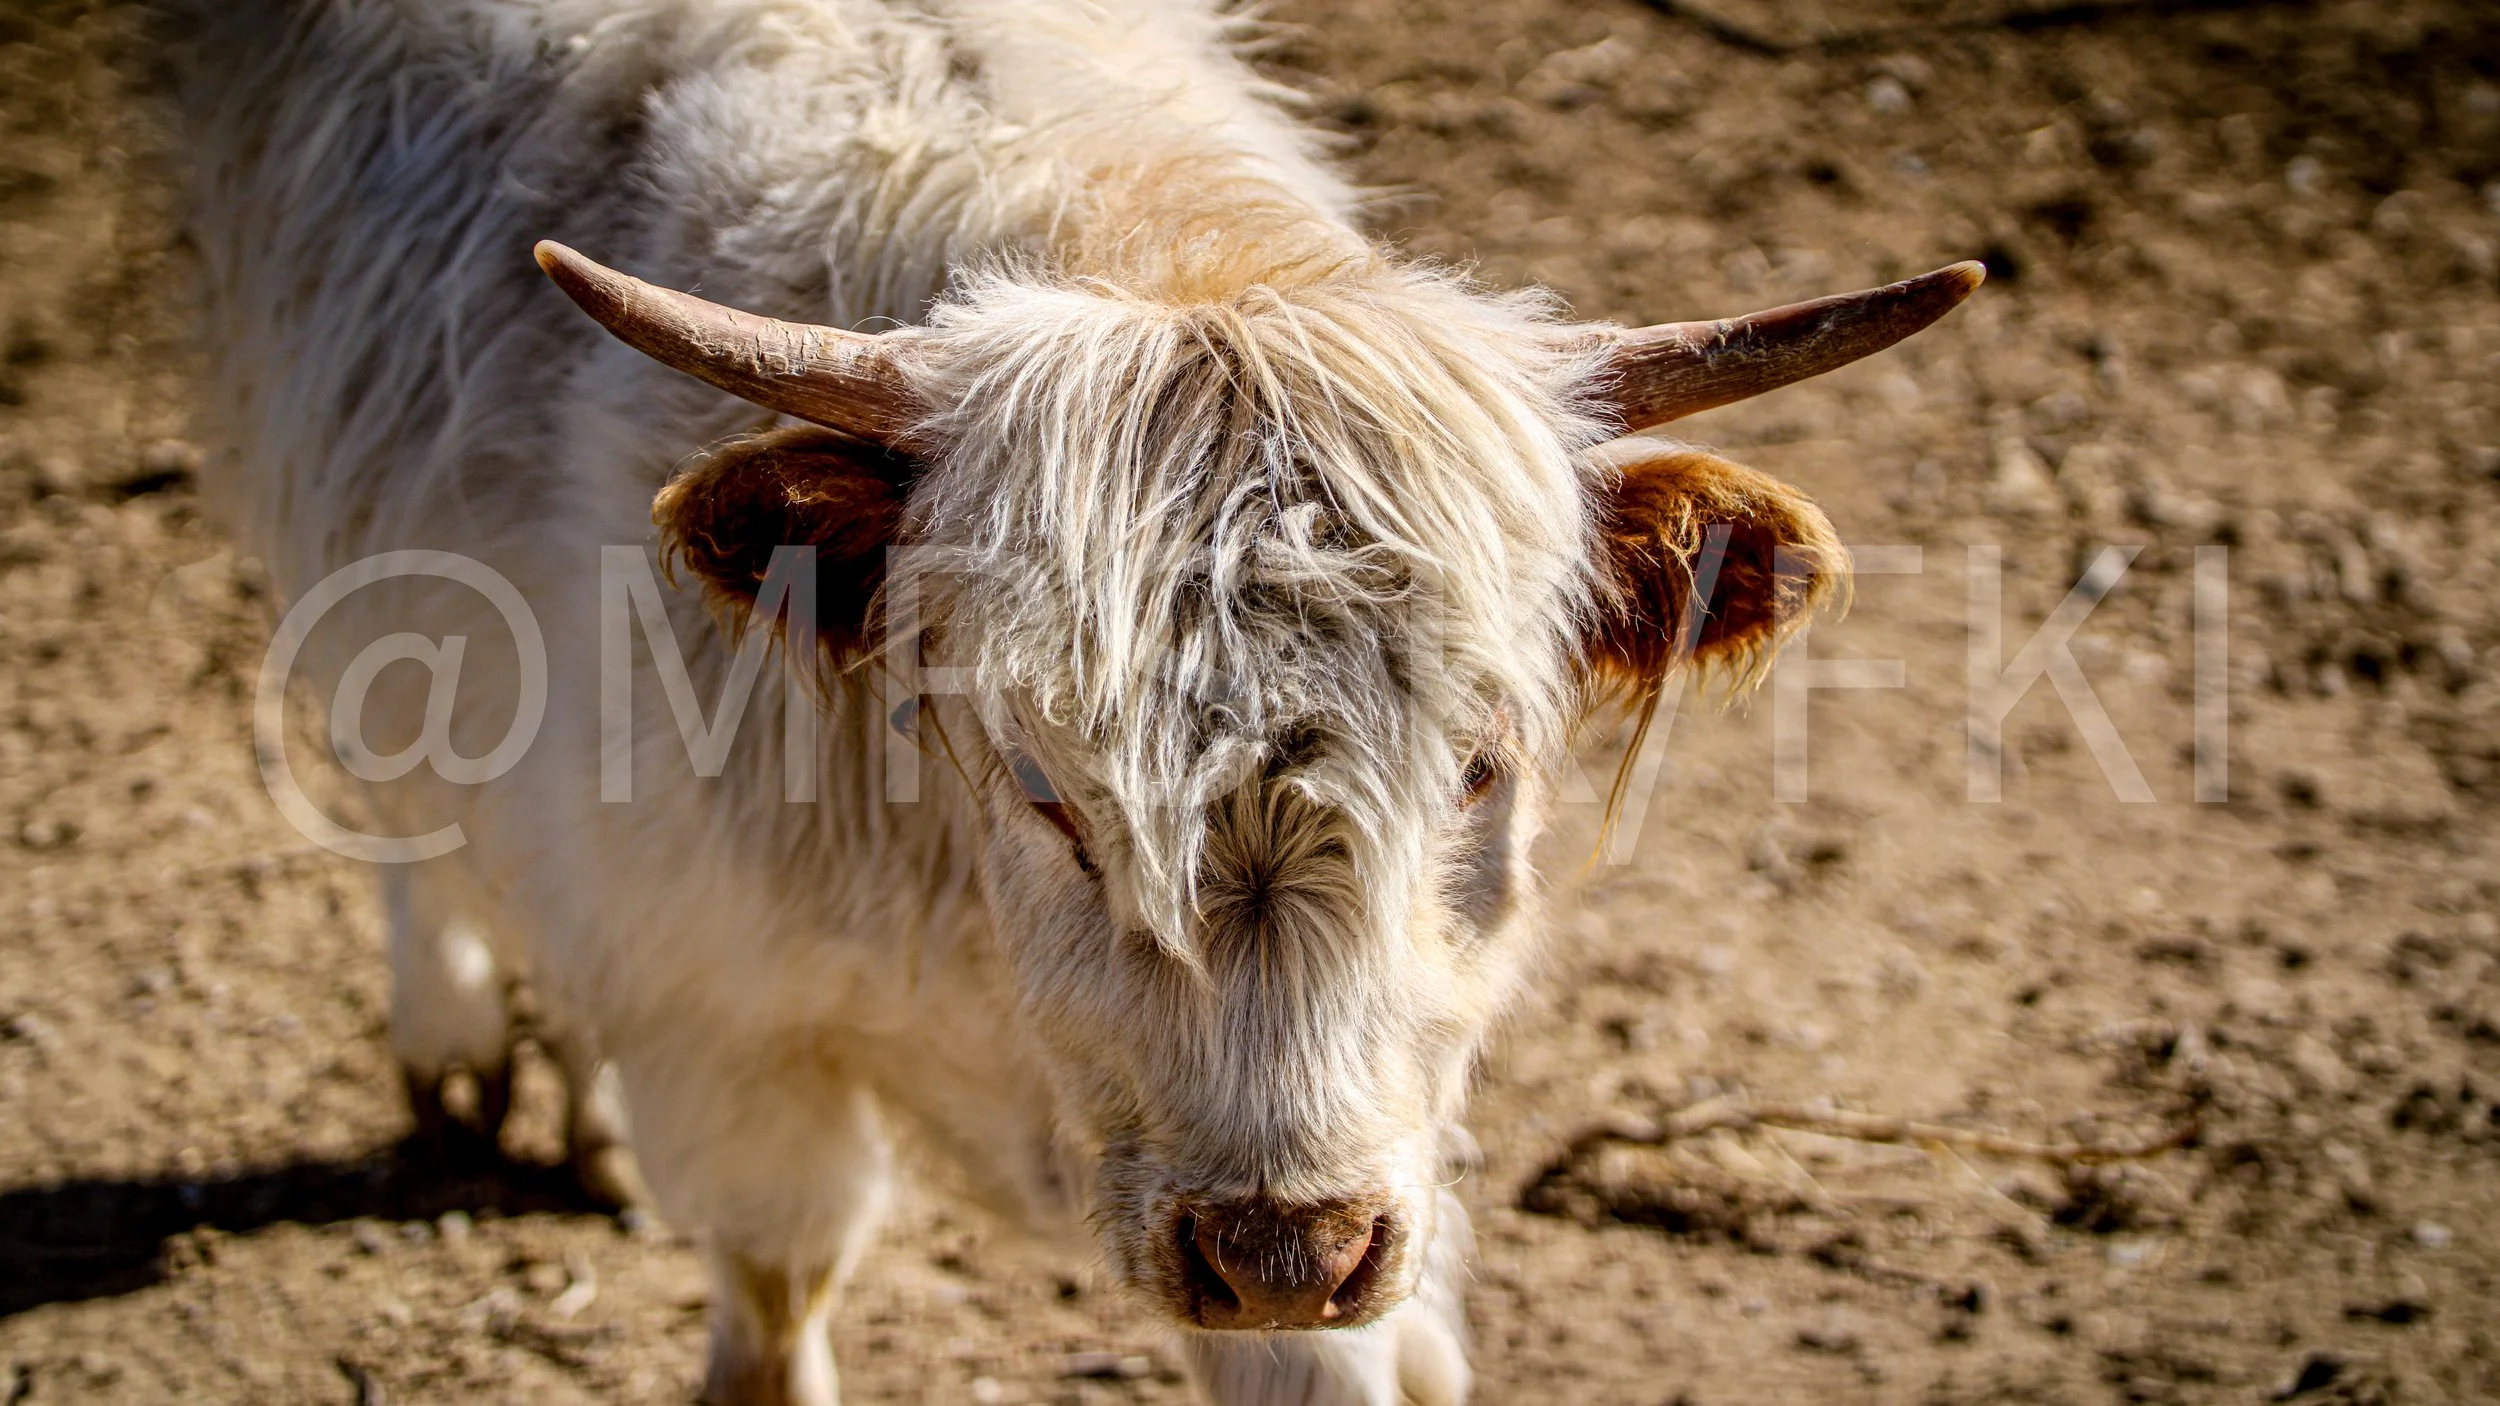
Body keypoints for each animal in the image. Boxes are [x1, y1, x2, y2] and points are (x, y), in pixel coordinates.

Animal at [180, 2, 1977, 1402]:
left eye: (1481, 766)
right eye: (1047, 783)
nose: (1278, 1243)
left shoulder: (1356, 1201)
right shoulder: (732, 1041)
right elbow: (774, 1302)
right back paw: (462, 1046)